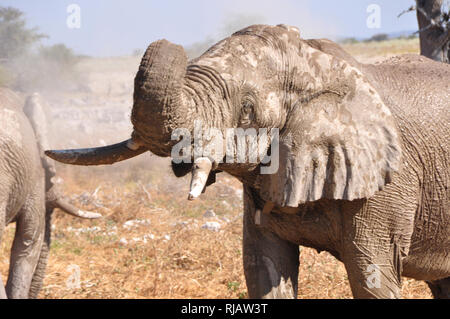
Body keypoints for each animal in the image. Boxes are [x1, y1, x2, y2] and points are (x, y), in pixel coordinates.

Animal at [46, 25, 450, 300]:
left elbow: (372, 275)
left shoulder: (386, 185)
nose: (171, 41)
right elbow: (264, 267)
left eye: (247, 111)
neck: (318, 66)